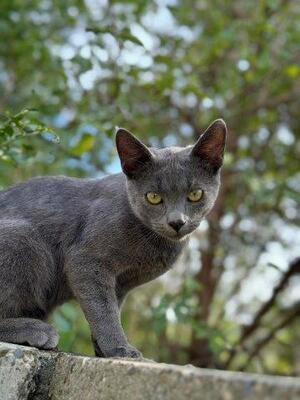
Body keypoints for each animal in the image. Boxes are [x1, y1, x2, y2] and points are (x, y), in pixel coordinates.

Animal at [0, 118, 226, 356]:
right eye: (153, 197)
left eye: (195, 194)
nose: (176, 222)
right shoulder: (86, 261)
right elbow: (103, 311)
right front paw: (120, 349)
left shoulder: (121, 284)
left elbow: (110, 309)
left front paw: (103, 349)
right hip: (24, 239)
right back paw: (36, 330)